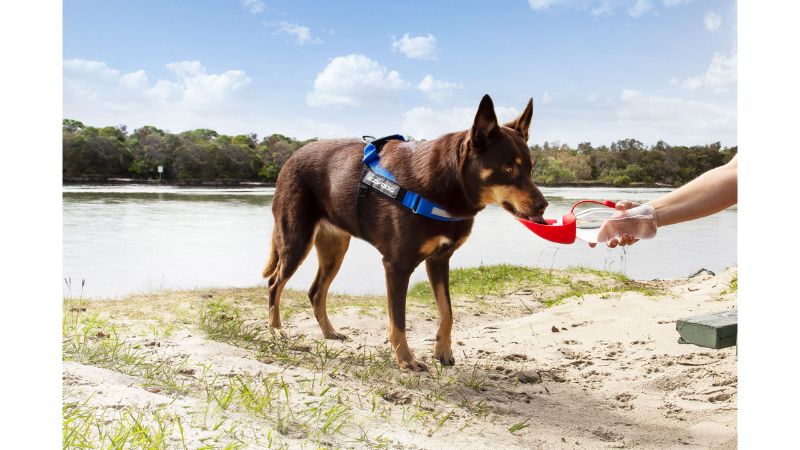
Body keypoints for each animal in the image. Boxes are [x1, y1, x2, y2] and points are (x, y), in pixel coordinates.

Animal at [266, 94, 548, 370]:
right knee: (275, 283)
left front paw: (442, 351)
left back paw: (329, 332)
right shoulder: (397, 265)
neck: (448, 185)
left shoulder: (439, 259)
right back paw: (276, 330)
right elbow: (399, 321)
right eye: (508, 169)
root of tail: (292, 156)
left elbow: (447, 312)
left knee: (315, 292)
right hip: (296, 241)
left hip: (334, 250)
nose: (543, 205)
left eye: (530, 168)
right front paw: (406, 359)